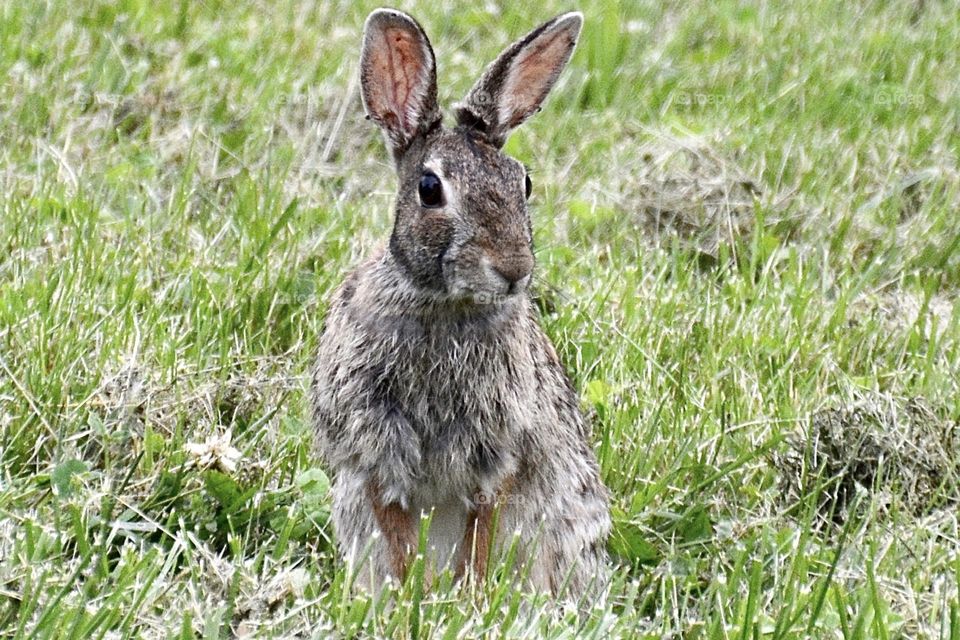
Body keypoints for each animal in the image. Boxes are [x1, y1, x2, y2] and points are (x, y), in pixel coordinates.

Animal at [316, 7, 616, 596]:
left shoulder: (497, 455)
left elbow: (482, 528)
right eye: (430, 188)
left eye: (523, 183)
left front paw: (466, 597)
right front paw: (412, 596)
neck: (442, 305)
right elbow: (398, 535)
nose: (514, 269)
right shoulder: (375, 453)